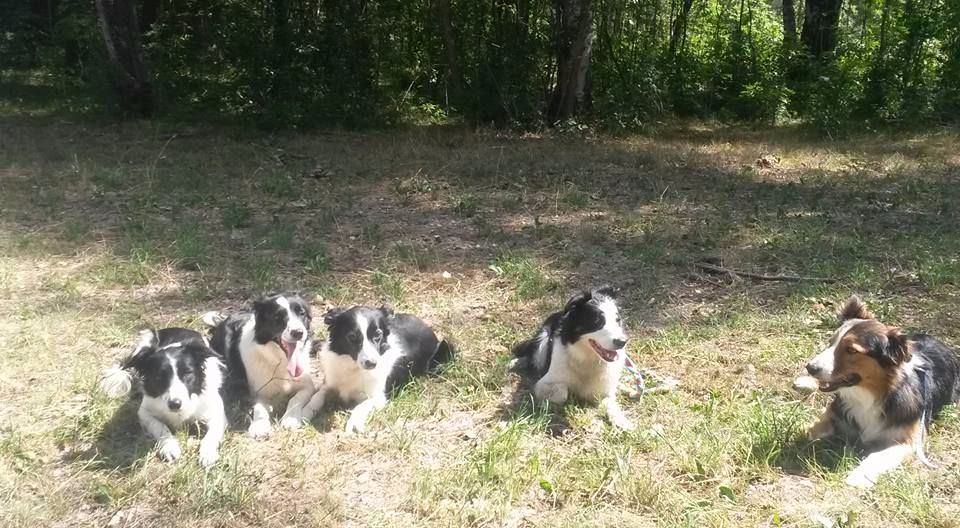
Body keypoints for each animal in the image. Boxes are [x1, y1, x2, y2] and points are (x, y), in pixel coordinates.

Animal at [205, 292, 318, 438]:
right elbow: (259, 408)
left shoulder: (307, 386)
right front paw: (260, 425)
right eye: (277, 317)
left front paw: (290, 419)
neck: (278, 360)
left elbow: (295, 399)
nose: (298, 332)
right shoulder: (256, 392)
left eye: (301, 313)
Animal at [804, 294, 960, 488]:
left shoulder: (907, 441)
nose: (810, 368)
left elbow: (876, 456)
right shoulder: (834, 413)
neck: (869, 395)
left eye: (851, 350)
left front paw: (858, 476)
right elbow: (814, 430)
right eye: (831, 343)